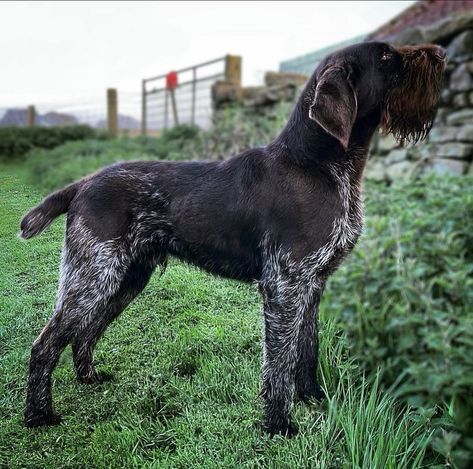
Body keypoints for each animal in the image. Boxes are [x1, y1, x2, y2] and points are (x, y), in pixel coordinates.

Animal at [20, 42, 444, 434]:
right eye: (386, 57)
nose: (440, 52)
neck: (318, 165)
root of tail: (82, 183)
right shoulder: (284, 284)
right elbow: (280, 363)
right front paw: (279, 425)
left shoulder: (313, 282)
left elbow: (307, 351)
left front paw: (312, 398)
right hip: (95, 276)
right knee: (46, 344)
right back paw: (39, 415)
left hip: (124, 278)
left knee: (85, 332)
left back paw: (88, 378)